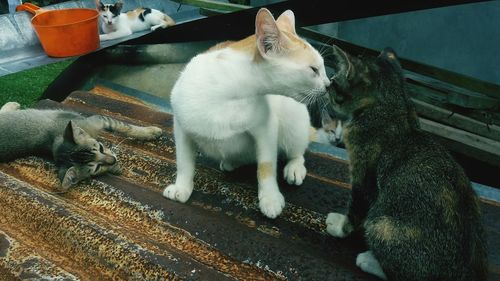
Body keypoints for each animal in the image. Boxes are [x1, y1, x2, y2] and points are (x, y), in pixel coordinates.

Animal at [0, 101, 163, 189]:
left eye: (101, 148)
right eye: (96, 168)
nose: (113, 160)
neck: (53, 142)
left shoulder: (98, 119)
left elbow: (124, 127)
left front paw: (150, 131)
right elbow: (123, 127)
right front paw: (116, 167)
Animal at [162, 8, 330, 219]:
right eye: (314, 69)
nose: (329, 84)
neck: (228, 93)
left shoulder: (266, 128)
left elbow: (266, 165)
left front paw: (270, 198)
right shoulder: (181, 127)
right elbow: (184, 162)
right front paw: (182, 187)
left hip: (293, 124)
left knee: (297, 151)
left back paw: (294, 167)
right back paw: (230, 162)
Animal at [322, 46, 486, 280]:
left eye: (335, 81)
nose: (327, 85)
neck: (395, 110)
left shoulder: (364, 175)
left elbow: (357, 207)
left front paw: (340, 227)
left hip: (381, 223)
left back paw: (368, 260)